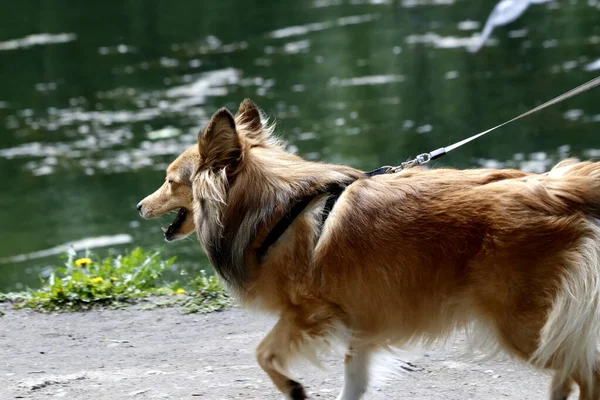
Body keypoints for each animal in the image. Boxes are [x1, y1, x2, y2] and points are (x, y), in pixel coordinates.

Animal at [139, 97, 600, 400]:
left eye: (170, 182)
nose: (140, 205)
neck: (277, 210)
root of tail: (554, 186)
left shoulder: (307, 314)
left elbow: (263, 353)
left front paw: (292, 387)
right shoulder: (360, 322)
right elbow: (350, 380)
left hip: (524, 326)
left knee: (586, 372)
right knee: (571, 374)